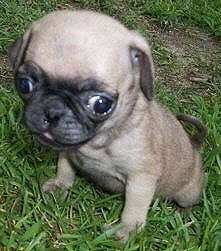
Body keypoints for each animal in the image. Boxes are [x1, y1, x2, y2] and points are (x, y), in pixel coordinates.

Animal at [7, 9, 206, 241]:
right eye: (24, 85)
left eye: (101, 104)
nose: (52, 111)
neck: (97, 143)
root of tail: (194, 144)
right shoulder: (67, 151)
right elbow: (65, 169)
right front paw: (60, 186)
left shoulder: (141, 180)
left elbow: (133, 210)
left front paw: (126, 231)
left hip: (187, 192)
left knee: (188, 201)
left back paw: (181, 212)